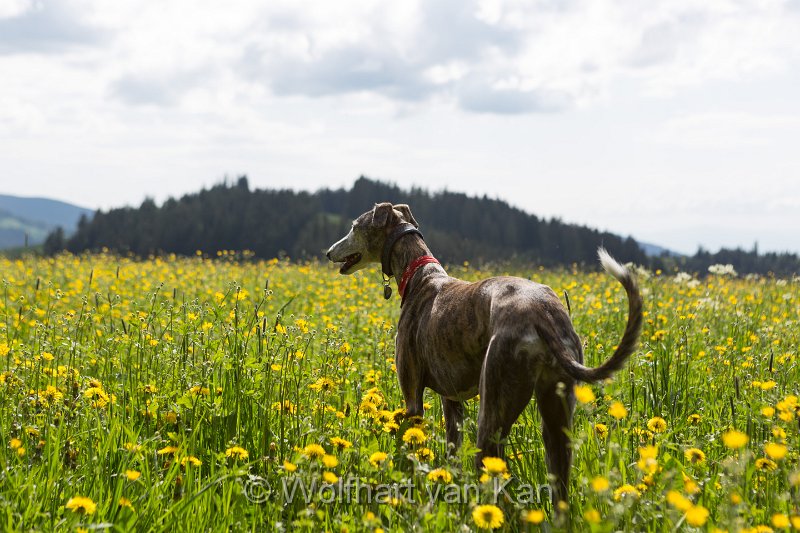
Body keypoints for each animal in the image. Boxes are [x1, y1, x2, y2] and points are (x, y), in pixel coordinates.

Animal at [326, 202, 644, 504]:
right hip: (557, 420)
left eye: (354, 226)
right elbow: (452, 452)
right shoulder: (451, 399)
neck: (420, 275)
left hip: (493, 409)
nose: (329, 252)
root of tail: (542, 314)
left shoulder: (413, 398)